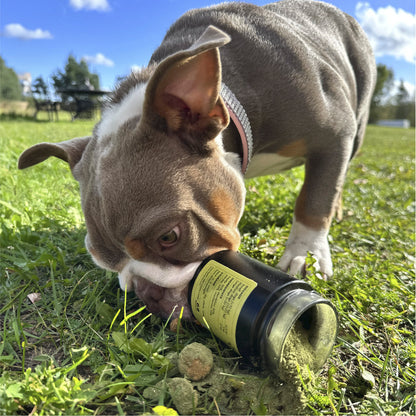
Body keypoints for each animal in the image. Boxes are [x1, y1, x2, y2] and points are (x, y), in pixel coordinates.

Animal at [17, 0, 376, 318]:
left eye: (169, 238)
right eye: (102, 262)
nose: (148, 293)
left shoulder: (334, 136)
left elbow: (314, 200)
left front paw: (306, 254)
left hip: (356, 127)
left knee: (334, 181)